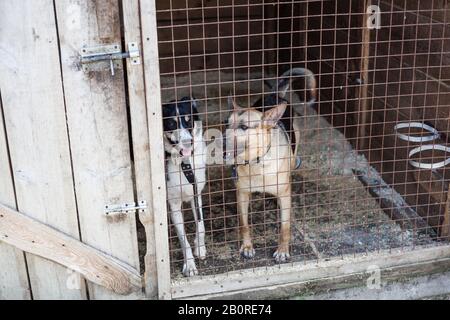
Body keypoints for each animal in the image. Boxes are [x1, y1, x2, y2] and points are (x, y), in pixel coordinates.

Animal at [224, 68, 316, 262]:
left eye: (244, 127)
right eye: (225, 124)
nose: (219, 141)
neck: (256, 163)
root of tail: (275, 95)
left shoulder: (285, 194)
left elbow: (285, 227)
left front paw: (282, 250)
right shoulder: (242, 194)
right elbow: (244, 224)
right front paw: (247, 246)